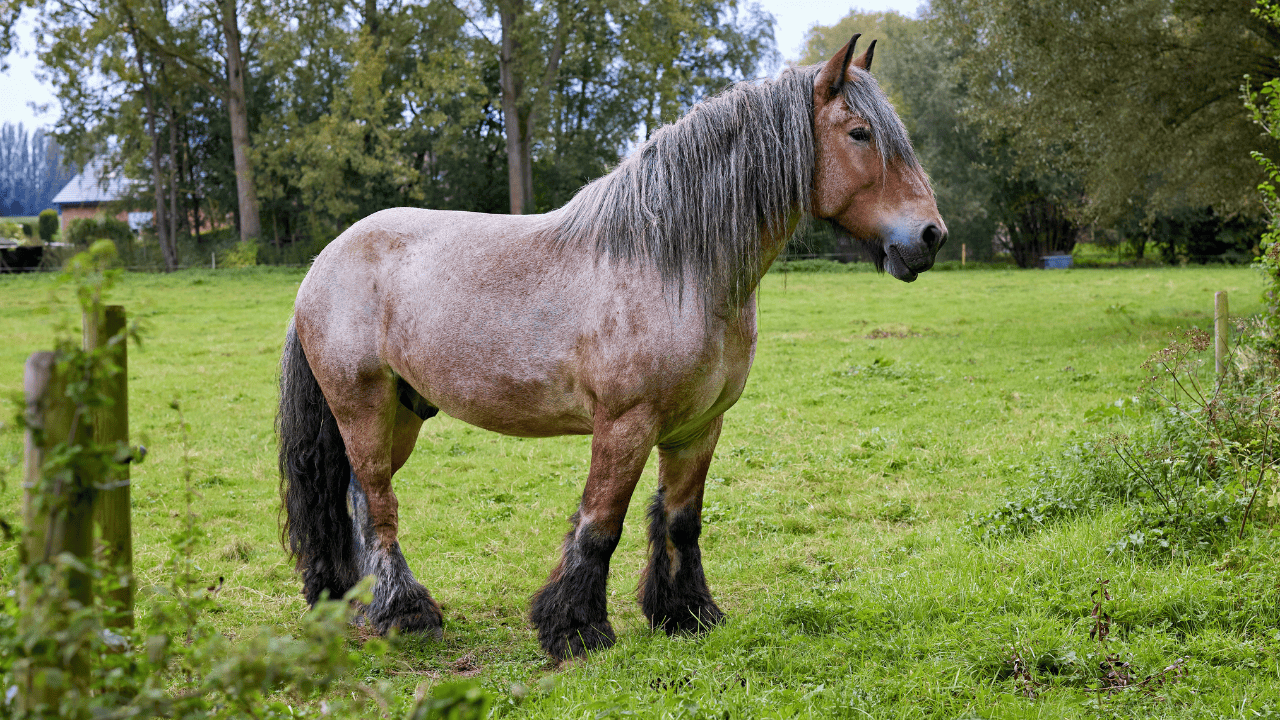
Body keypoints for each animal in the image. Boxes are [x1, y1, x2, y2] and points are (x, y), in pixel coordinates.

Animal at [277, 34, 946, 662]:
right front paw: (575, 629)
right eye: (860, 133)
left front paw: (686, 613)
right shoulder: (626, 423)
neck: (673, 266)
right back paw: (404, 614)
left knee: (353, 497)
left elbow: (681, 519)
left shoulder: (699, 426)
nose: (930, 236)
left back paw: (354, 602)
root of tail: (323, 262)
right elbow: (600, 524)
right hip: (362, 407)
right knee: (377, 503)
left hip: (404, 413)